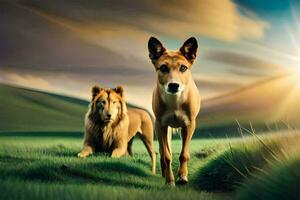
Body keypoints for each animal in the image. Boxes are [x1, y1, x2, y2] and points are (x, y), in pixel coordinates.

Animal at [148, 36, 200, 185]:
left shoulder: (189, 124)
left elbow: (184, 154)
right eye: (163, 67)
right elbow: (167, 155)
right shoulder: (161, 125)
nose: (173, 85)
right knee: (162, 150)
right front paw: (169, 180)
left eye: (183, 67)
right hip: (160, 128)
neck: (175, 101)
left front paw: (182, 176)